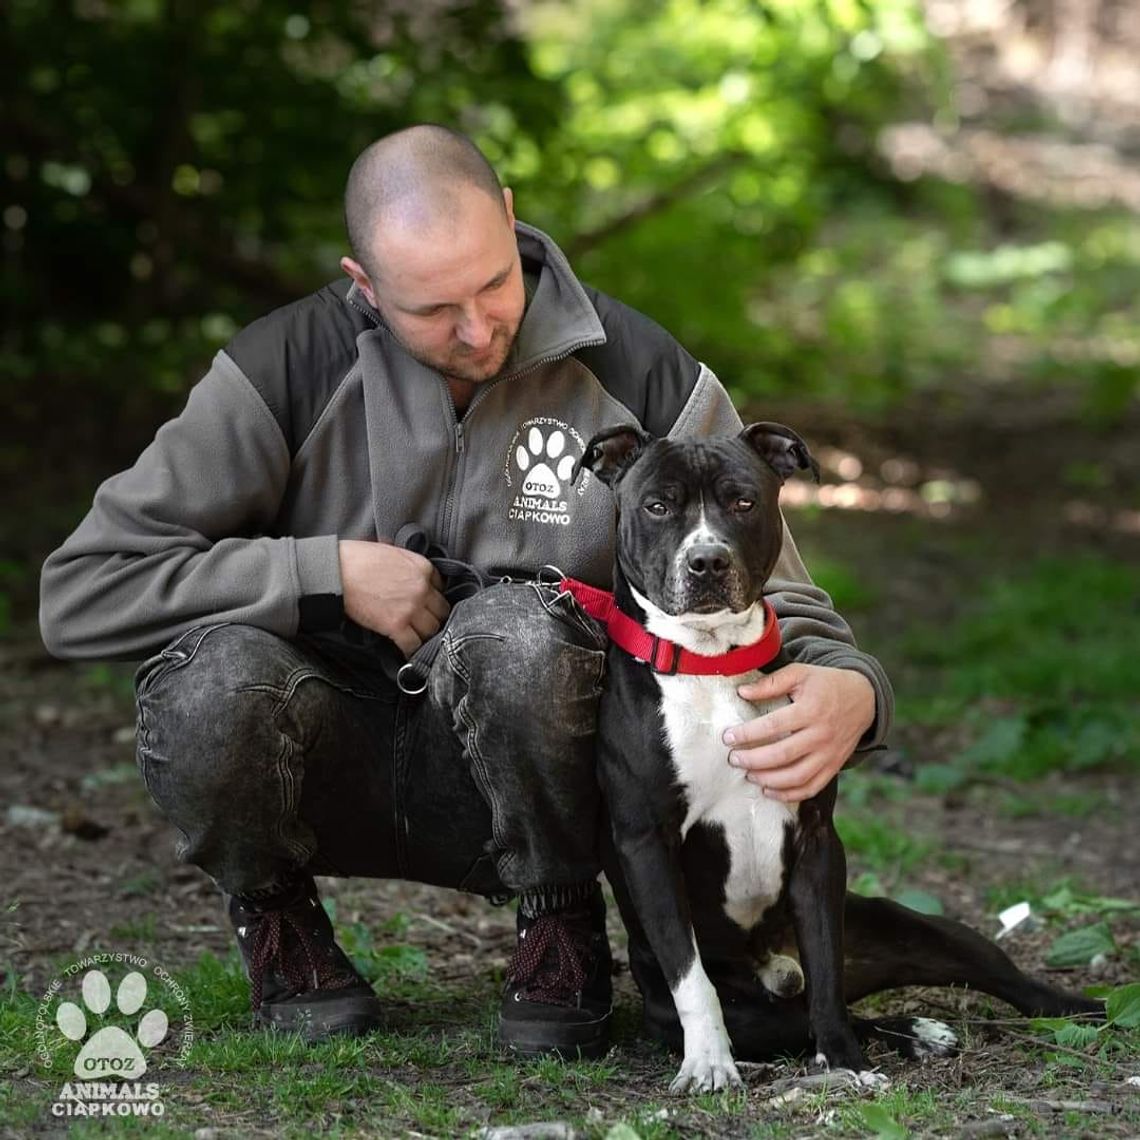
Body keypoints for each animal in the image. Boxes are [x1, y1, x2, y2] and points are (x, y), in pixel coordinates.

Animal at [574, 426, 1098, 1094]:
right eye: (657, 506)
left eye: (743, 502)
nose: (708, 561)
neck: (713, 663)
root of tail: (775, 968)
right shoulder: (647, 845)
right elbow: (692, 977)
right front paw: (711, 1062)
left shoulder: (817, 843)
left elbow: (826, 969)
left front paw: (845, 1059)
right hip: (751, 1014)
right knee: (794, 1016)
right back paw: (914, 1032)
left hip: (919, 929)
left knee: (981, 980)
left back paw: (1065, 1011)